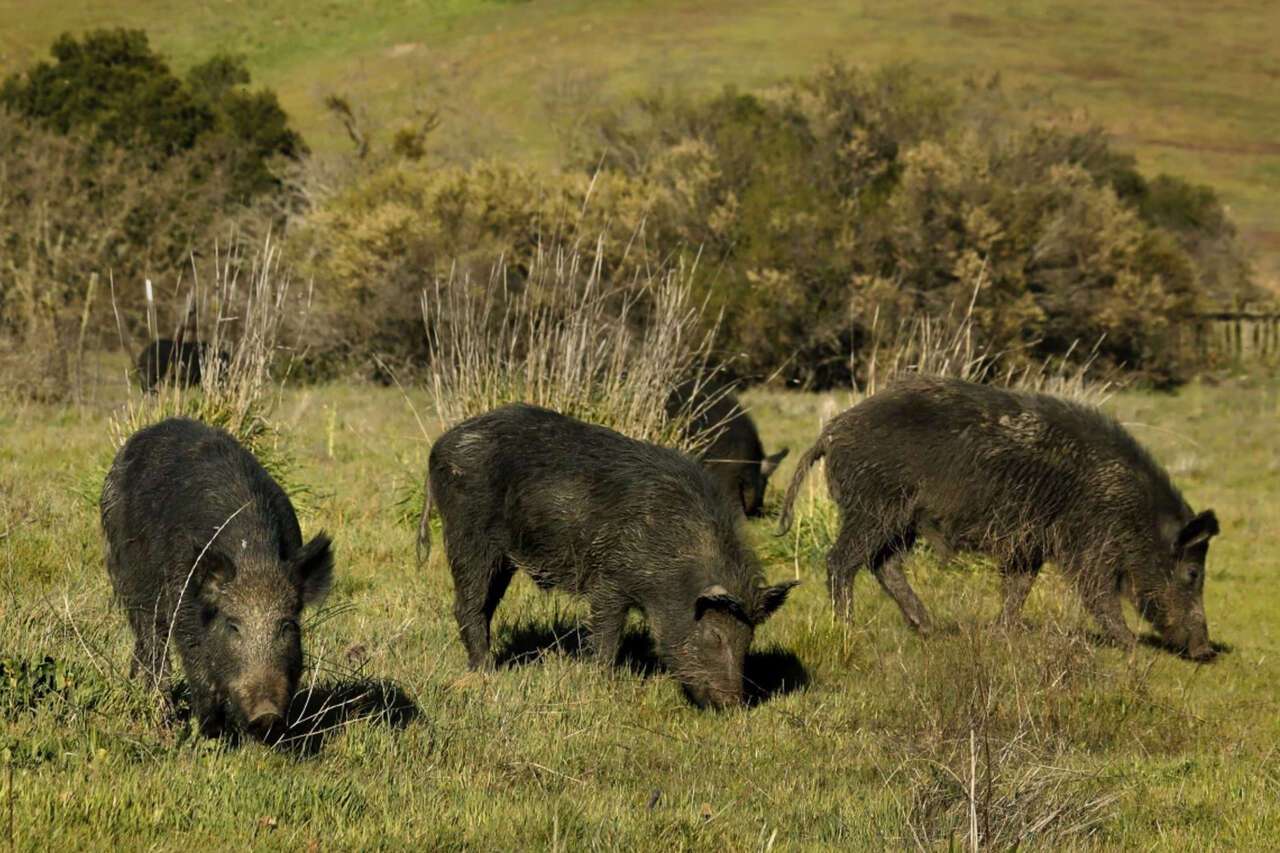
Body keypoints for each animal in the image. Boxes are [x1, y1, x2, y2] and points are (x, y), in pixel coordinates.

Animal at [100, 417, 334, 738]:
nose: (266, 714)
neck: (254, 557)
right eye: (233, 625)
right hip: (127, 577)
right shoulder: (183, 601)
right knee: (152, 640)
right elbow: (198, 666)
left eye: (287, 626)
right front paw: (212, 735)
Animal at [418, 403, 796, 708]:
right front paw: (603, 683)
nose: (734, 705)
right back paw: (486, 672)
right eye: (715, 636)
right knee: (467, 605)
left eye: (748, 638)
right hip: (469, 538)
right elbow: (607, 636)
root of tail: (440, 445)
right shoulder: (609, 581)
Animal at [778, 375, 1219, 660]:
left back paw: (929, 628)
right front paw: (1131, 647)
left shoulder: (1029, 544)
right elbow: (1097, 592)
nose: (1205, 651)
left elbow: (1018, 588)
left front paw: (1003, 635)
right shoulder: (1089, 542)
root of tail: (831, 432)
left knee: (884, 564)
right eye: (1193, 574)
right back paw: (848, 628)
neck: (1133, 509)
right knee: (841, 561)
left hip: (902, 519)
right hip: (874, 508)